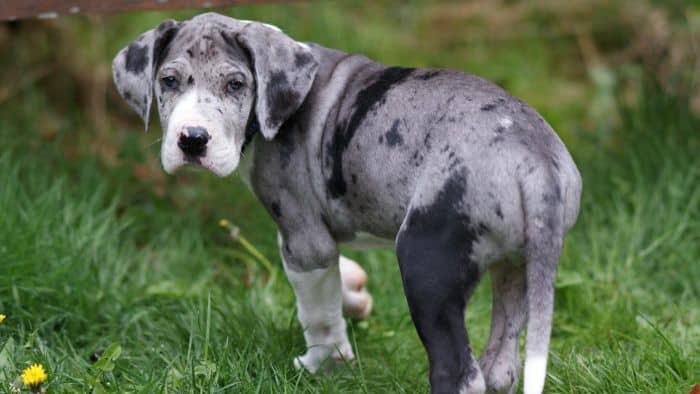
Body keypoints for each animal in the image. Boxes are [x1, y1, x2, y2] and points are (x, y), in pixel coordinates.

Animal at [113, 12, 580, 394]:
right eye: (169, 81)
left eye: (235, 85)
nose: (192, 140)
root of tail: (535, 160)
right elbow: (338, 284)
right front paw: (354, 296)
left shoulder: (305, 243)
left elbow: (318, 312)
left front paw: (324, 363)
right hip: (518, 269)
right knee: (500, 368)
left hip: (427, 265)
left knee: (461, 374)